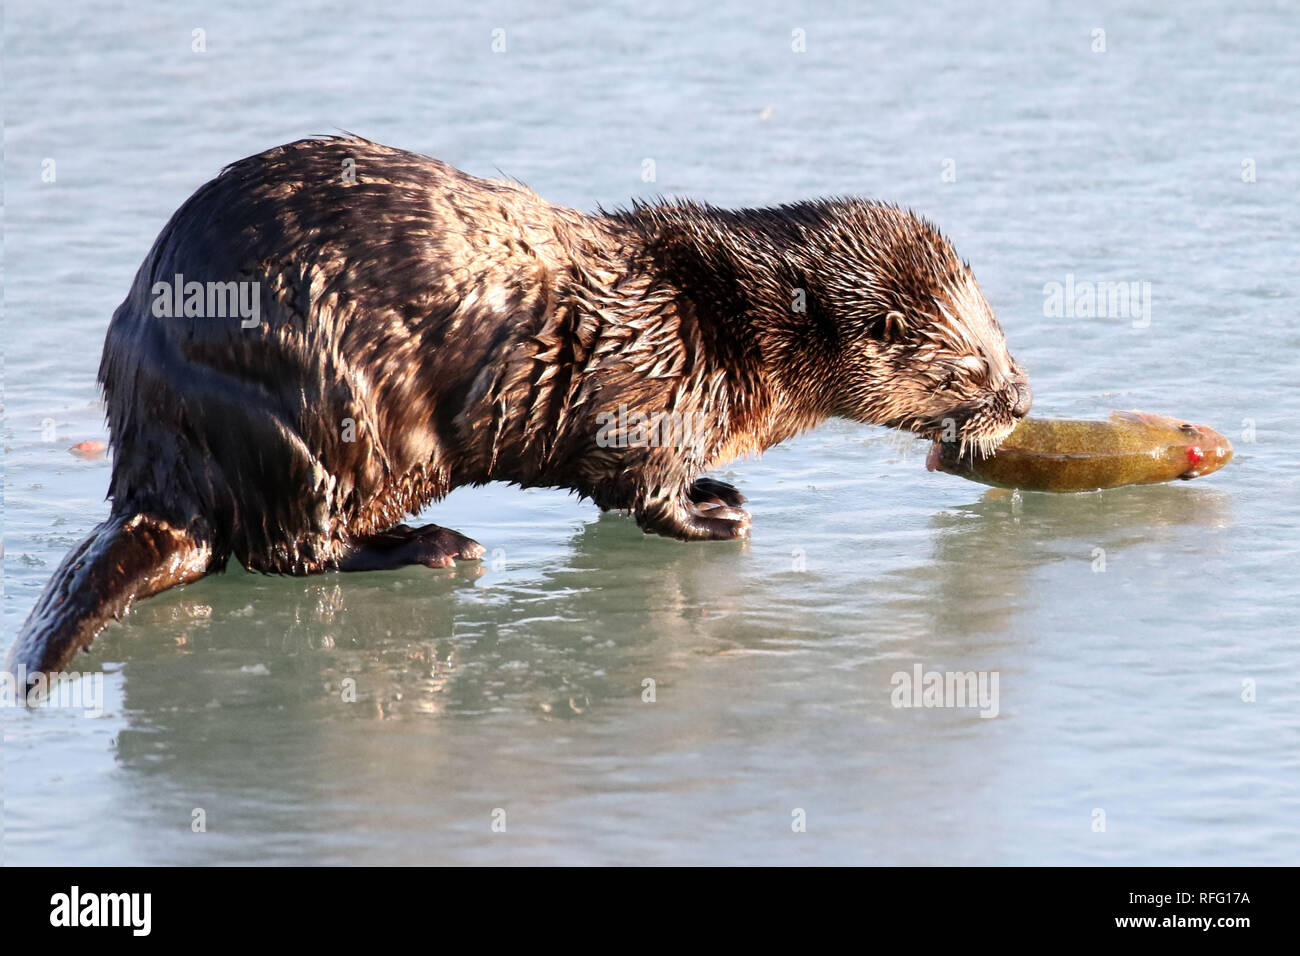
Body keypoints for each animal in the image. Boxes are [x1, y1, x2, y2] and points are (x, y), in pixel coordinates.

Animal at [5, 134, 1029, 681]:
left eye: (1005, 333)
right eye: (972, 362)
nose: (1021, 396)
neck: (708, 320)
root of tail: (155, 463)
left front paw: (720, 488)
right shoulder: (646, 396)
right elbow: (642, 488)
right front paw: (714, 514)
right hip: (324, 421)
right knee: (291, 548)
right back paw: (435, 545)